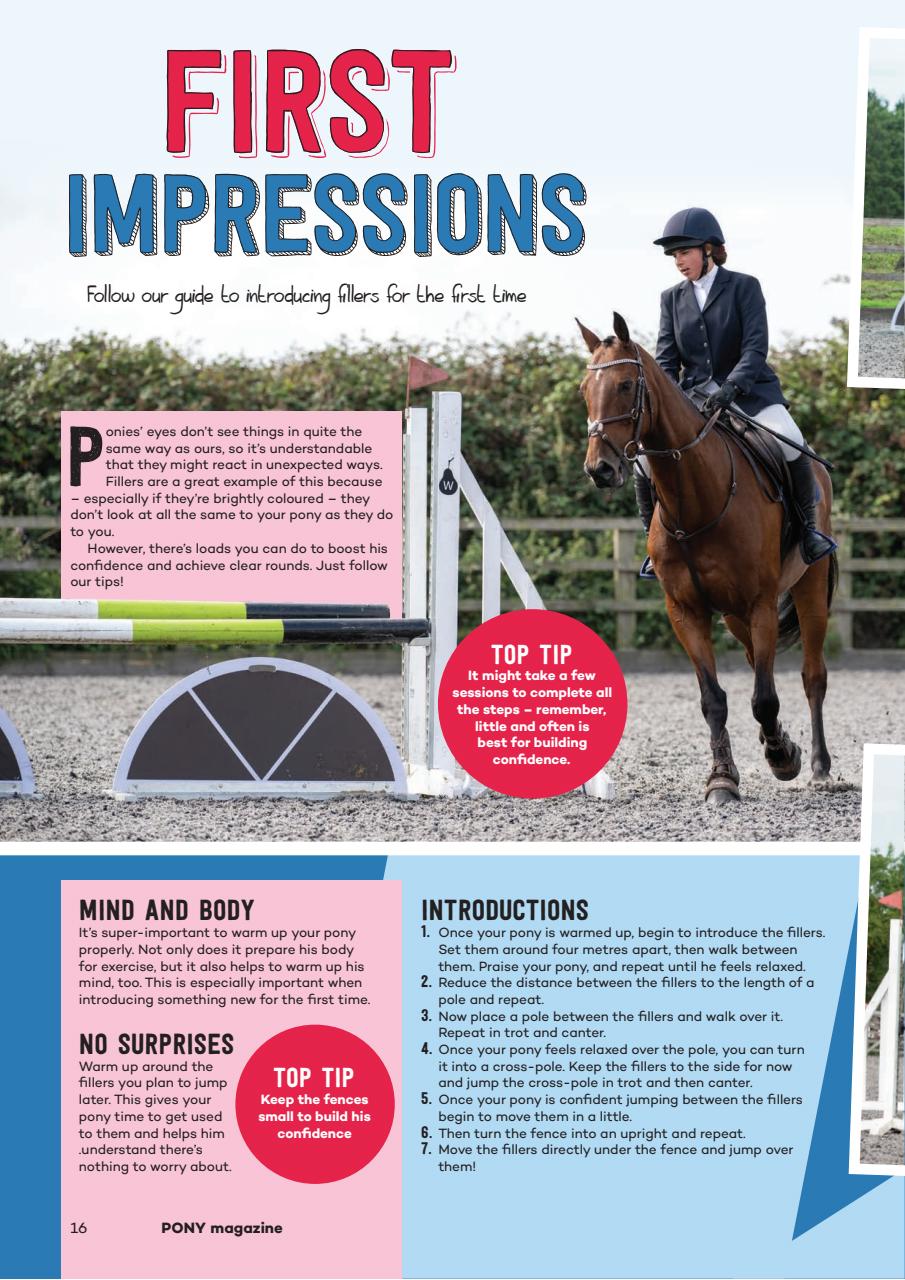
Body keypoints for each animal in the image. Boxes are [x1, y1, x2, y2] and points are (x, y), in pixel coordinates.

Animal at [578, 312, 836, 805]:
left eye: (625, 385)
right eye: (585, 388)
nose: (600, 469)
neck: (697, 498)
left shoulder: (759, 602)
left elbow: (764, 699)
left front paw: (782, 757)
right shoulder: (687, 611)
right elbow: (715, 699)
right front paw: (722, 778)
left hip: (808, 590)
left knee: (812, 676)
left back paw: (816, 765)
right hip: (735, 617)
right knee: (758, 664)